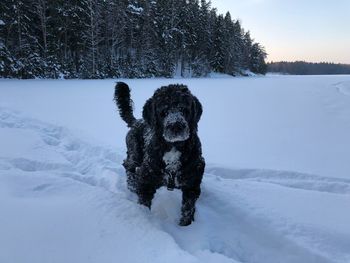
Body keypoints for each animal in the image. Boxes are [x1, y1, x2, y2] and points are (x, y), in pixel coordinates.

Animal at [114, 82, 205, 227]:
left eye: (184, 108)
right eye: (163, 111)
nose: (176, 126)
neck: (173, 147)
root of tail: (136, 121)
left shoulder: (192, 184)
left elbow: (188, 209)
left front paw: (186, 227)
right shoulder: (146, 180)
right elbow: (144, 203)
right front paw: (145, 218)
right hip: (134, 155)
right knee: (129, 167)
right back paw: (132, 185)